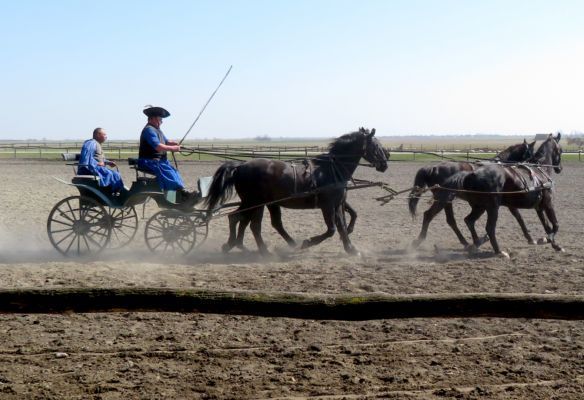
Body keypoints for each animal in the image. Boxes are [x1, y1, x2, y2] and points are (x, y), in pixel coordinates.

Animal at [208, 126, 390, 255]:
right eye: (376, 145)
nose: (385, 164)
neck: (331, 169)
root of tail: (241, 166)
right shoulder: (327, 206)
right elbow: (331, 229)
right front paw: (307, 243)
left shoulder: (338, 205)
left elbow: (343, 226)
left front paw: (351, 248)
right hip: (256, 202)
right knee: (251, 224)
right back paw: (263, 250)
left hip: (257, 203)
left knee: (242, 219)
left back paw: (235, 245)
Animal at [408, 140, 536, 247]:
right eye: (531, 153)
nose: (533, 169)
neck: (503, 169)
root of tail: (433, 168)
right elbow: (519, 217)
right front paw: (530, 238)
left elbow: (517, 216)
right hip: (444, 200)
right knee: (430, 215)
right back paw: (420, 240)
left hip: (446, 200)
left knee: (449, 220)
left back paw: (465, 242)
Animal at [436, 133, 564, 258]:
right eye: (560, 150)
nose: (559, 168)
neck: (541, 171)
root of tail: (471, 174)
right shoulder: (548, 204)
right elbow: (555, 225)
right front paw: (546, 239)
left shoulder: (537, 207)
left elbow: (545, 225)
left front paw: (553, 244)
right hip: (491, 207)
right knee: (488, 227)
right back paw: (498, 251)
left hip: (479, 206)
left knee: (468, 220)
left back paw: (475, 243)